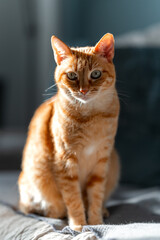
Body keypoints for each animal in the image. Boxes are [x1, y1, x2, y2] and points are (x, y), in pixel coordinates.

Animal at [17, 32, 120, 232]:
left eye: (95, 74)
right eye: (72, 75)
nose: (83, 90)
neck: (91, 117)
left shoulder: (102, 160)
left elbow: (95, 196)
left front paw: (96, 222)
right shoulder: (65, 163)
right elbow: (73, 199)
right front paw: (79, 225)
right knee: (36, 208)